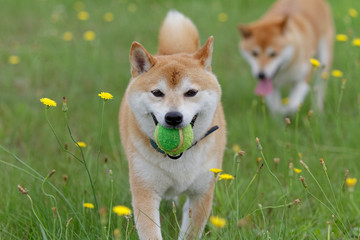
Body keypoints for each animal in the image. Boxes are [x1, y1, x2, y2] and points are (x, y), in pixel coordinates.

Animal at [119, 10, 225, 239]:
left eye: (191, 92)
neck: (178, 158)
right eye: (157, 93)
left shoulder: (202, 191)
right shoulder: (145, 188)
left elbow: (191, 231)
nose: (174, 117)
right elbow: (150, 230)